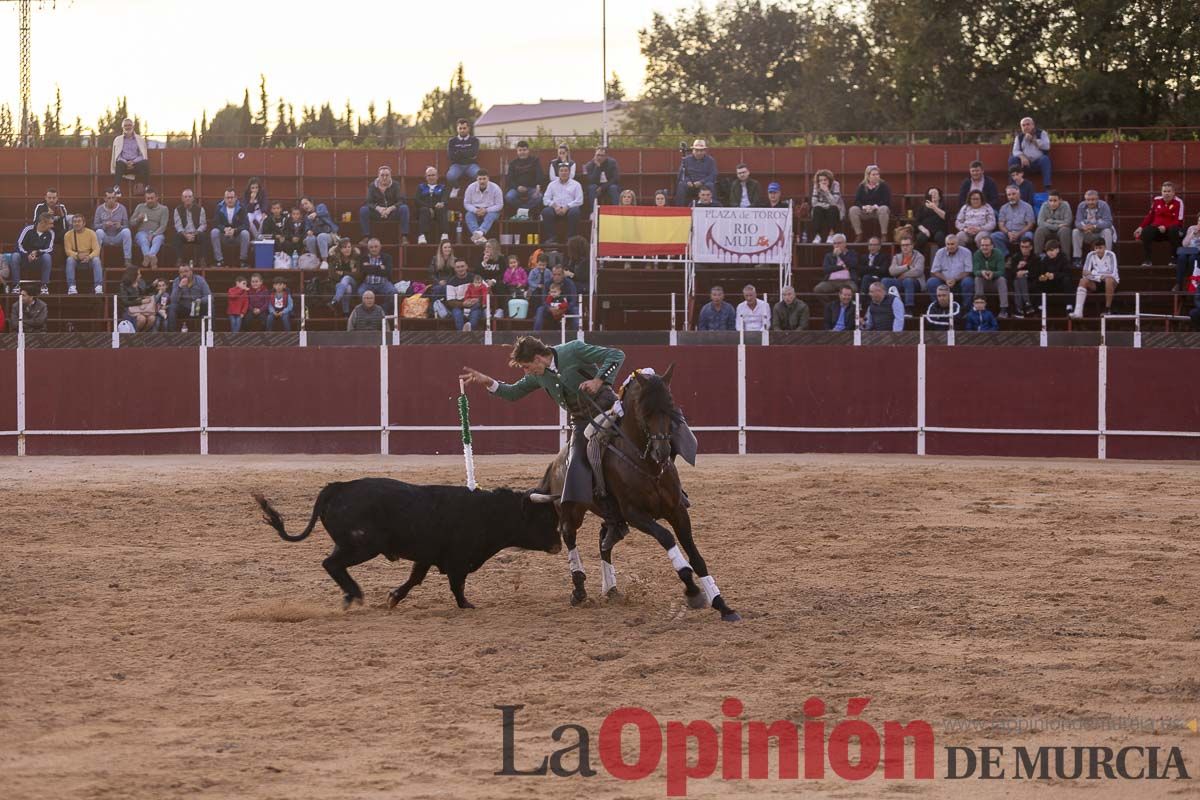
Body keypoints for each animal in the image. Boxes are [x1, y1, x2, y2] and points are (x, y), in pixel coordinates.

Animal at [253, 479, 561, 609]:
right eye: (545, 517)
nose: (559, 546)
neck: (490, 512)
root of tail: (339, 487)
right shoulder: (458, 560)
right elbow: (457, 584)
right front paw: (466, 605)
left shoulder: (426, 555)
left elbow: (415, 579)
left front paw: (393, 598)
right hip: (363, 546)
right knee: (331, 564)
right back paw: (354, 595)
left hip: (354, 546)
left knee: (332, 564)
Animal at [537, 367, 739, 623]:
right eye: (645, 411)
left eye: (670, 406)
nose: (662, 452)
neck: (648, 466)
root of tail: (555, 462)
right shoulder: (636, 514)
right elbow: (667, 538)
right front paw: (693, 591)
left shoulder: (677, 511)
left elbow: (696, 556)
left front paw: (722, 604)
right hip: (571, 510)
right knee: (569, 536)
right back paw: (579, 590)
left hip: (612, 516)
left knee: (604, 541)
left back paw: (611, 588)